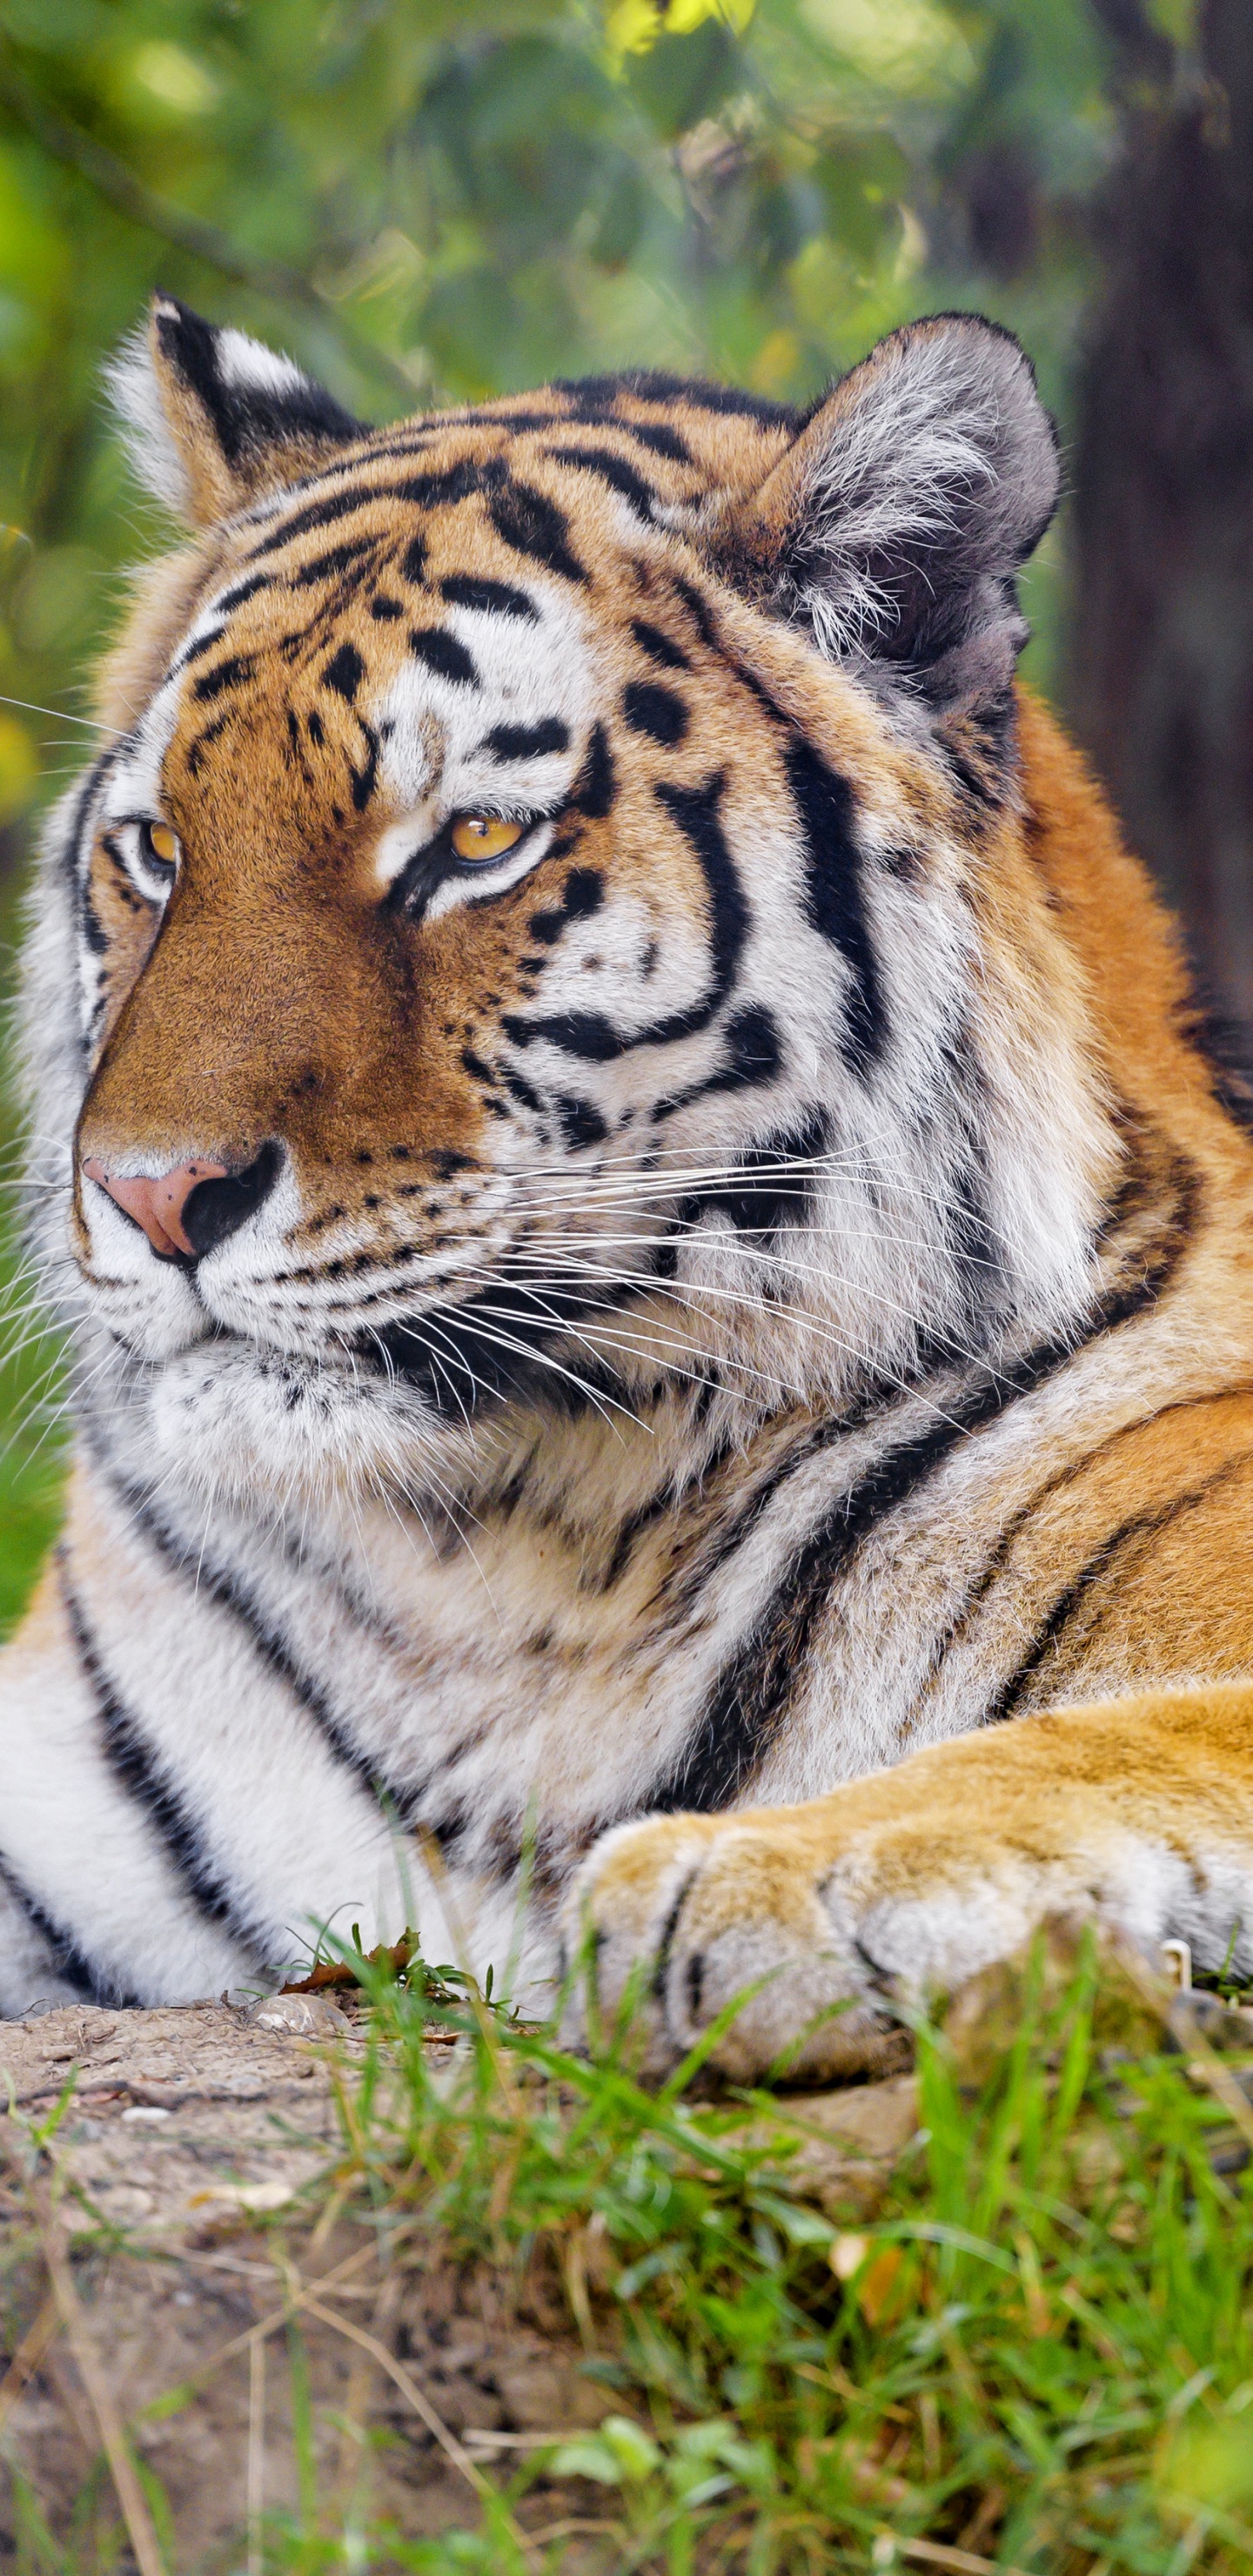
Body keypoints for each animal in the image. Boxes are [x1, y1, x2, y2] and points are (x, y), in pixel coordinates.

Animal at [4, 288, 1253, 2080]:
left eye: (475, 841)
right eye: (161, 848)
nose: (152, 1196)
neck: (511, 1568)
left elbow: (1117, 1737)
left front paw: (773, 1870)